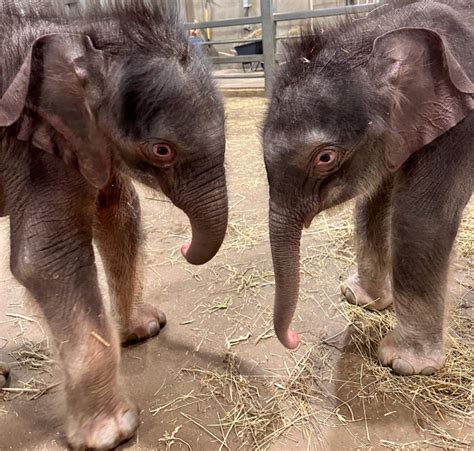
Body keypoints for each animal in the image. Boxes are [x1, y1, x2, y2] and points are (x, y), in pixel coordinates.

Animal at [0, 1, 228, 450]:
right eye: (161, 150)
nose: (185, 248)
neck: (79, 34)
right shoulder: (36, 144)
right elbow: (46, 259)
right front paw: (112, 433)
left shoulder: (83, 140)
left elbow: (119, 211)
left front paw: (145, 329)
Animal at [264, 0, 472, 374]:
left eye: (325, 157)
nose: (293, 339)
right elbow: (374, 201)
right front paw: (359, 298)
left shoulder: (461, 121)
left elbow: (422, 217)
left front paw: (404, 363)